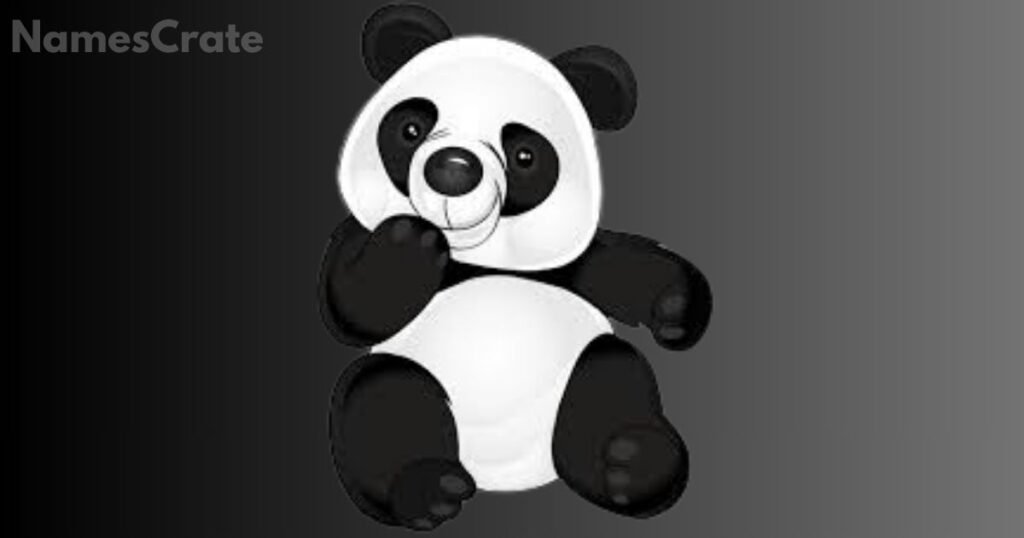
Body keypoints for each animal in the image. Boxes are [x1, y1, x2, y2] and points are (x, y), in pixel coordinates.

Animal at [319, 4, 712, 530]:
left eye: (525, 155)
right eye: (410, 130)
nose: (453, 169)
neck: (471, 255)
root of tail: (504, 473)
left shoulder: (566, 261)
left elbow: (618, 267)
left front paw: (676, 307)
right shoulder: (356, 235)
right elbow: (352, 306)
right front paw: (408, 244)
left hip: (581, 374)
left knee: (613, 383)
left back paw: (631, 465)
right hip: (413, 381)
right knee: (382, 402)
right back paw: (430, 489)